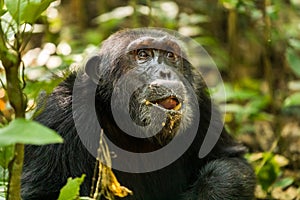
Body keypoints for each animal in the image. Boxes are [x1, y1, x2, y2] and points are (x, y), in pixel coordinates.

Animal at [21, 28, 255, 200]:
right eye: (143, 55)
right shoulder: (58, 113)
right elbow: (44, 192)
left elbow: (231, 162)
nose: (165, 72)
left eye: (170, 55)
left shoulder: (203, 103)